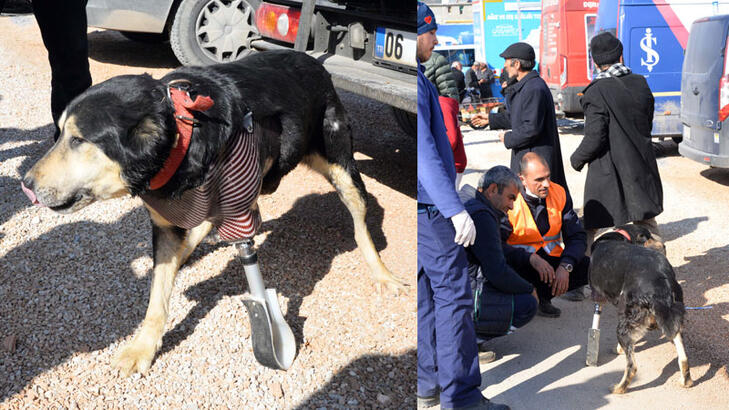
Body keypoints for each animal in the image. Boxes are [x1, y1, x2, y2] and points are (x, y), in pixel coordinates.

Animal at [21, 49, 404, 376]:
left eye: (78, 140)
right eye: (60, 134)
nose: (25, 183)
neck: (182, 137)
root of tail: (312, 59)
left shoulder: (236, 200)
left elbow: (251, 268)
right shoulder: (164, 225)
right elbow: (157, 296)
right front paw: (142, 347)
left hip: (342, 165)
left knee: (359, 224)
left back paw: (383, 274)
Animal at [588, 224, 692, 394]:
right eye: (648, 237)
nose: (664, 245)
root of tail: (661, 281)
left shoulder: (599, 296)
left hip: (625, 323)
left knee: (632, 367)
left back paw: (619, 388)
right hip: (671, 316)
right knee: (682, 354)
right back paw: (686, 381)